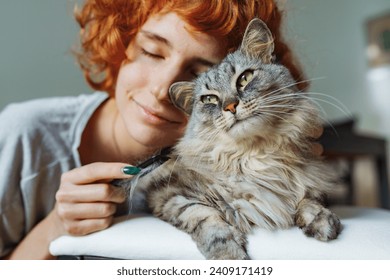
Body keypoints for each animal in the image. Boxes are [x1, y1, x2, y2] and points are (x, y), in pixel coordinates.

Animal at [119, 18, 342, 260]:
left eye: (245, 78)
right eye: (209, 99)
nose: (230, 106)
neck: (254, 155)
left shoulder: (310, 181)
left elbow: (309, 199)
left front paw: (320, 221)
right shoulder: (169, 195)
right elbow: (205, 217)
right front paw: (228, 254)